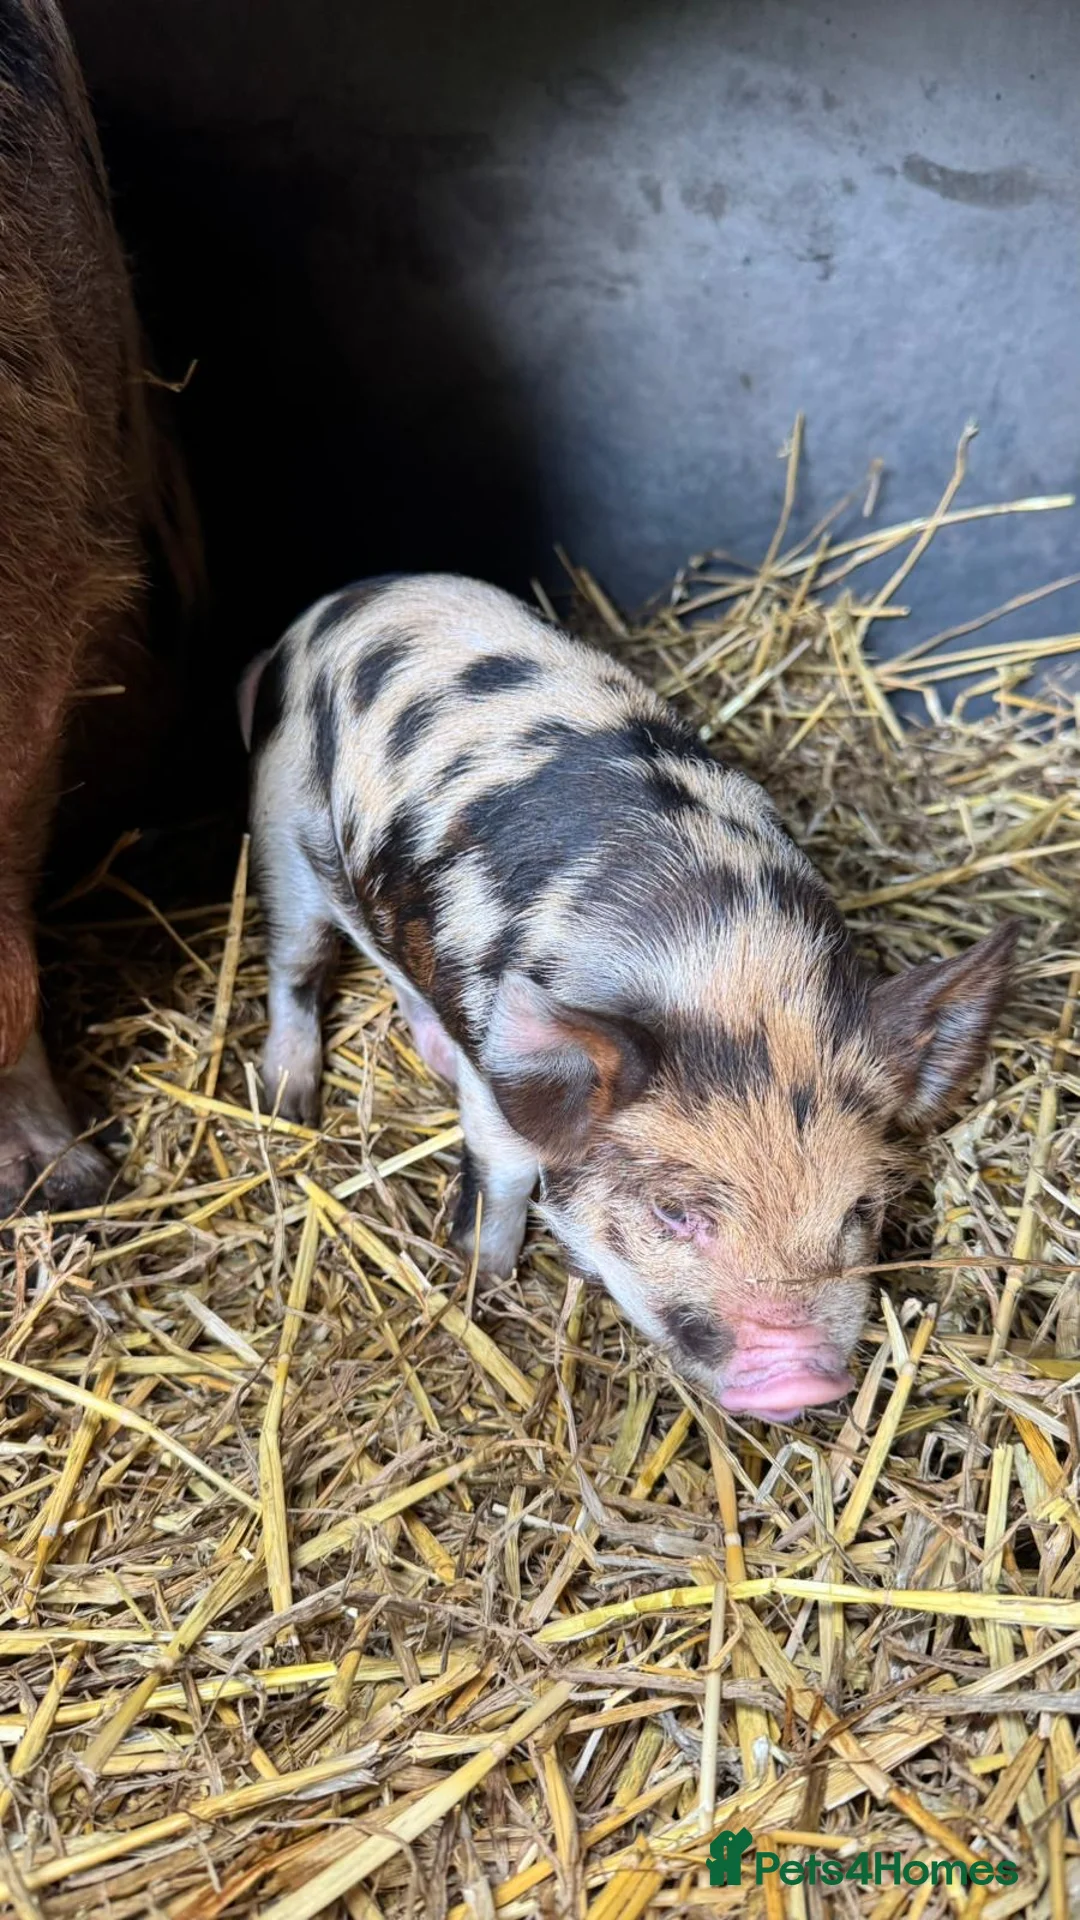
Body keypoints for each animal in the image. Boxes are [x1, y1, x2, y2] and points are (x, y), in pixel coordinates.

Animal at [240, 574, 1016, 1420]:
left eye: (859, 1212)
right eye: (674, 1213)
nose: (803, 1378)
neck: (729, 972)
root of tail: (341, 601)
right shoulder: (496, 1075)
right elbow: (503, 1174)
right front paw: (481, 1280)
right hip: (281, 829)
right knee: (296, 964)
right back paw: (287, 1103)